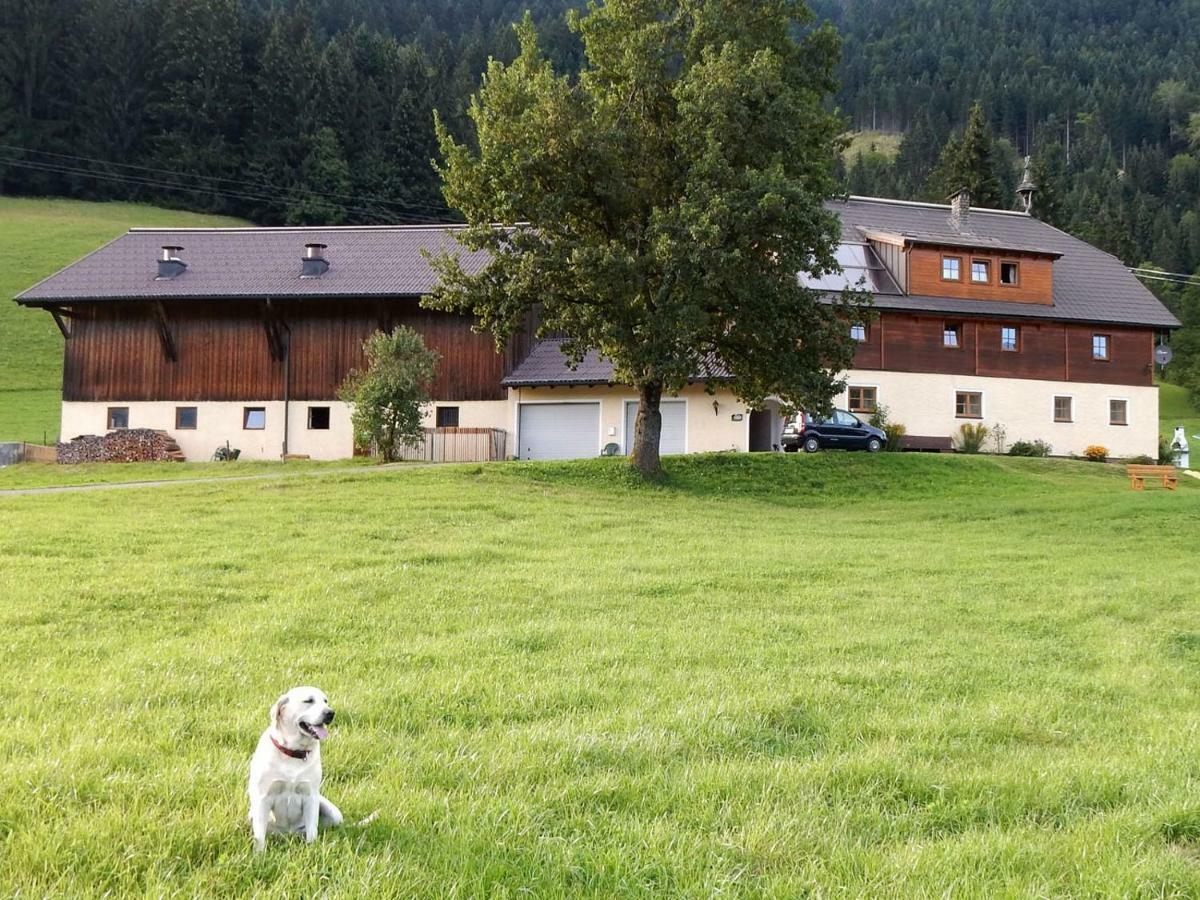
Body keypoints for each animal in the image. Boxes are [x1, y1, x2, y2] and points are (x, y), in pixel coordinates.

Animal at [246, 691, 343, 854]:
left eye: (325, 701)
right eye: (308, 701)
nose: (330, 713)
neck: (293, 752)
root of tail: (289, 834)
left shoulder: (311, 796)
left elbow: (312, 830)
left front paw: (312, 850)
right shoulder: (262, 797)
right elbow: (259, 836)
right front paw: (259, 855)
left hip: (332, 812)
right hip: (252, 815)